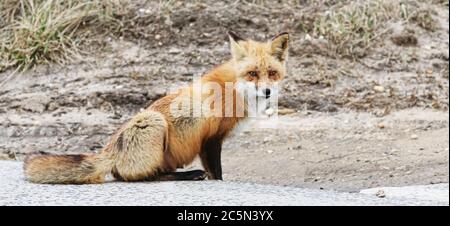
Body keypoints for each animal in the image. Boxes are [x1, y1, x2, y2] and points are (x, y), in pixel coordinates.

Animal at [23, 31, 288, 184]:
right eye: (252, 73)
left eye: (272, 73)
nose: (267, 91)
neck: (235, 89)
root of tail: (109, 150)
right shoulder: (211, 139)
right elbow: (218, 173)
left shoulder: (210, 141)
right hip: (154, 123)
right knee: (141, 176)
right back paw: (188, 175)